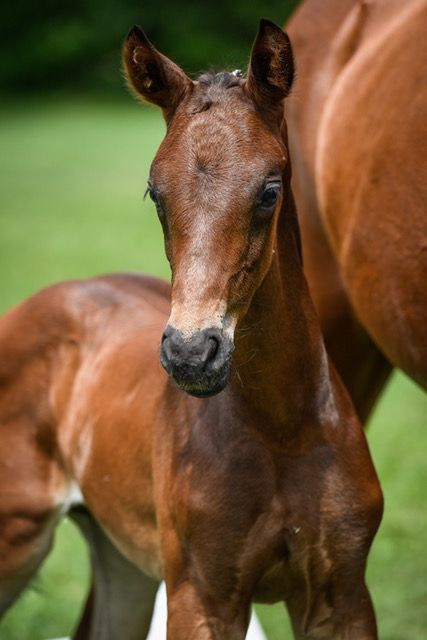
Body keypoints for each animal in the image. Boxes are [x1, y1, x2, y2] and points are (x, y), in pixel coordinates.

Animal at [0, 20, 382, 640]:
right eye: (155, 192)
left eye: (270, 190)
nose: (190, 353)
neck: (283, 430)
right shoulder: (201, 596)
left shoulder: (342, 595)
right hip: (18, 535)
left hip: (123, 563)